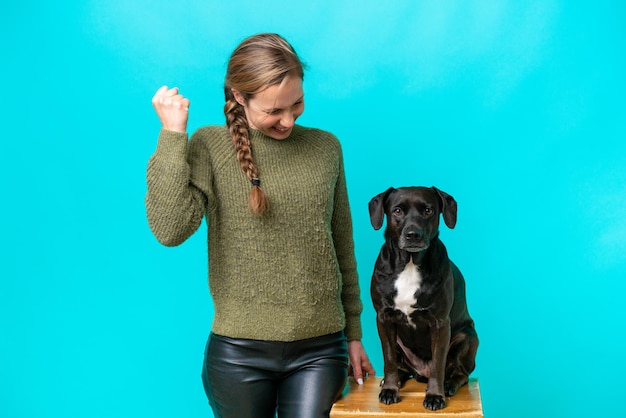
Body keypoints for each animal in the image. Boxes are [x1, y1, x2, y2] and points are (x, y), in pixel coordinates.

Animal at [368, 187, 476, 412]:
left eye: (428, 210)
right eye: (397, 211)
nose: (412, 235)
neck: (409, 264)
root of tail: (420, 374)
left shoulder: (440, 323)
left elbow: (437, 364)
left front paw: (435, 395)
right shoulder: (383, 319)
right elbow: (389, 360)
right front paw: (390, 389)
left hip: (467, 337)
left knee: (461, 373)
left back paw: (449, 384)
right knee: (400, 366)